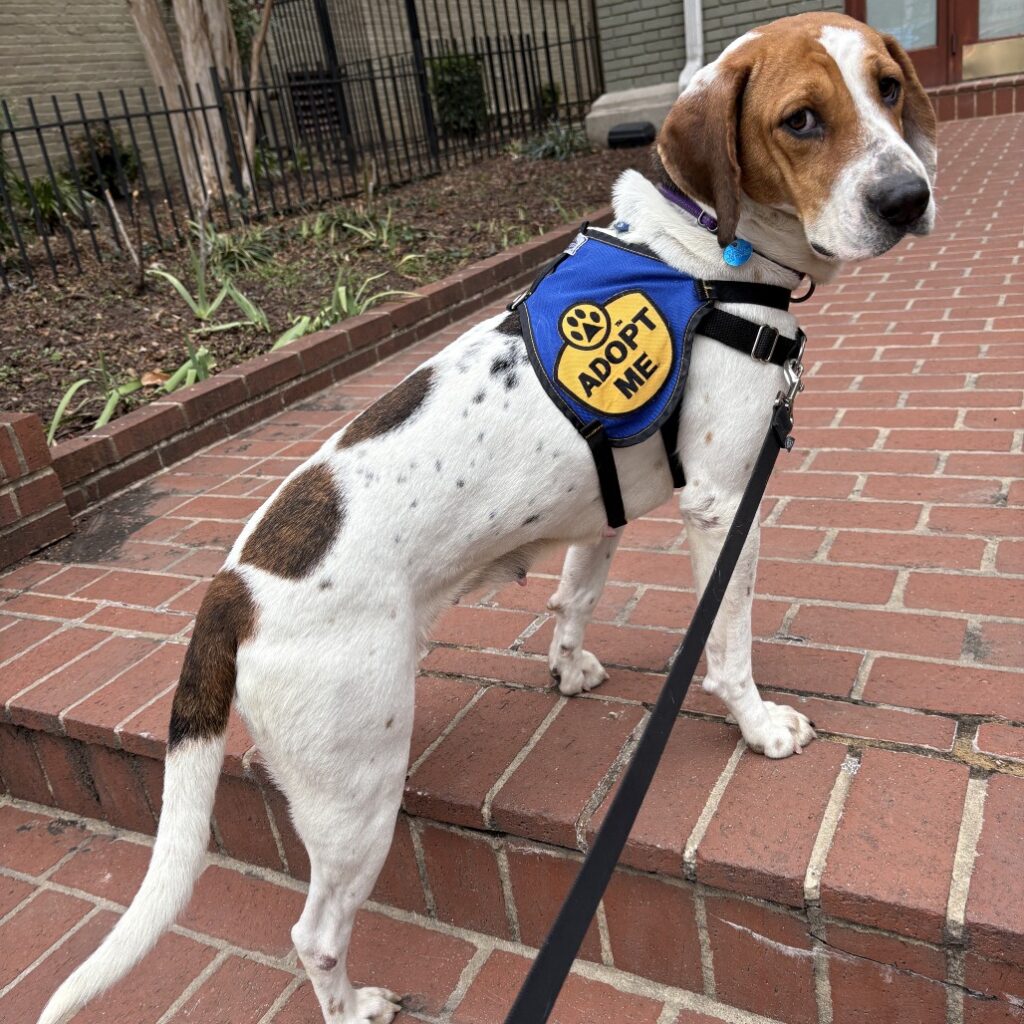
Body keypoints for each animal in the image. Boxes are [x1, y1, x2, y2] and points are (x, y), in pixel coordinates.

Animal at [39, 13, 936, 1024]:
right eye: (801, 120)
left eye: (889, 87)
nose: (909, 197)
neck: (706, 255)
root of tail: (231, 590)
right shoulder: (722, 503)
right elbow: (729, 645)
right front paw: (756, 728)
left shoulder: (600, 514)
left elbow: (574, 596)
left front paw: (570, 666)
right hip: (357, 793)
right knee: (314, 933)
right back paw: (352, 1004)